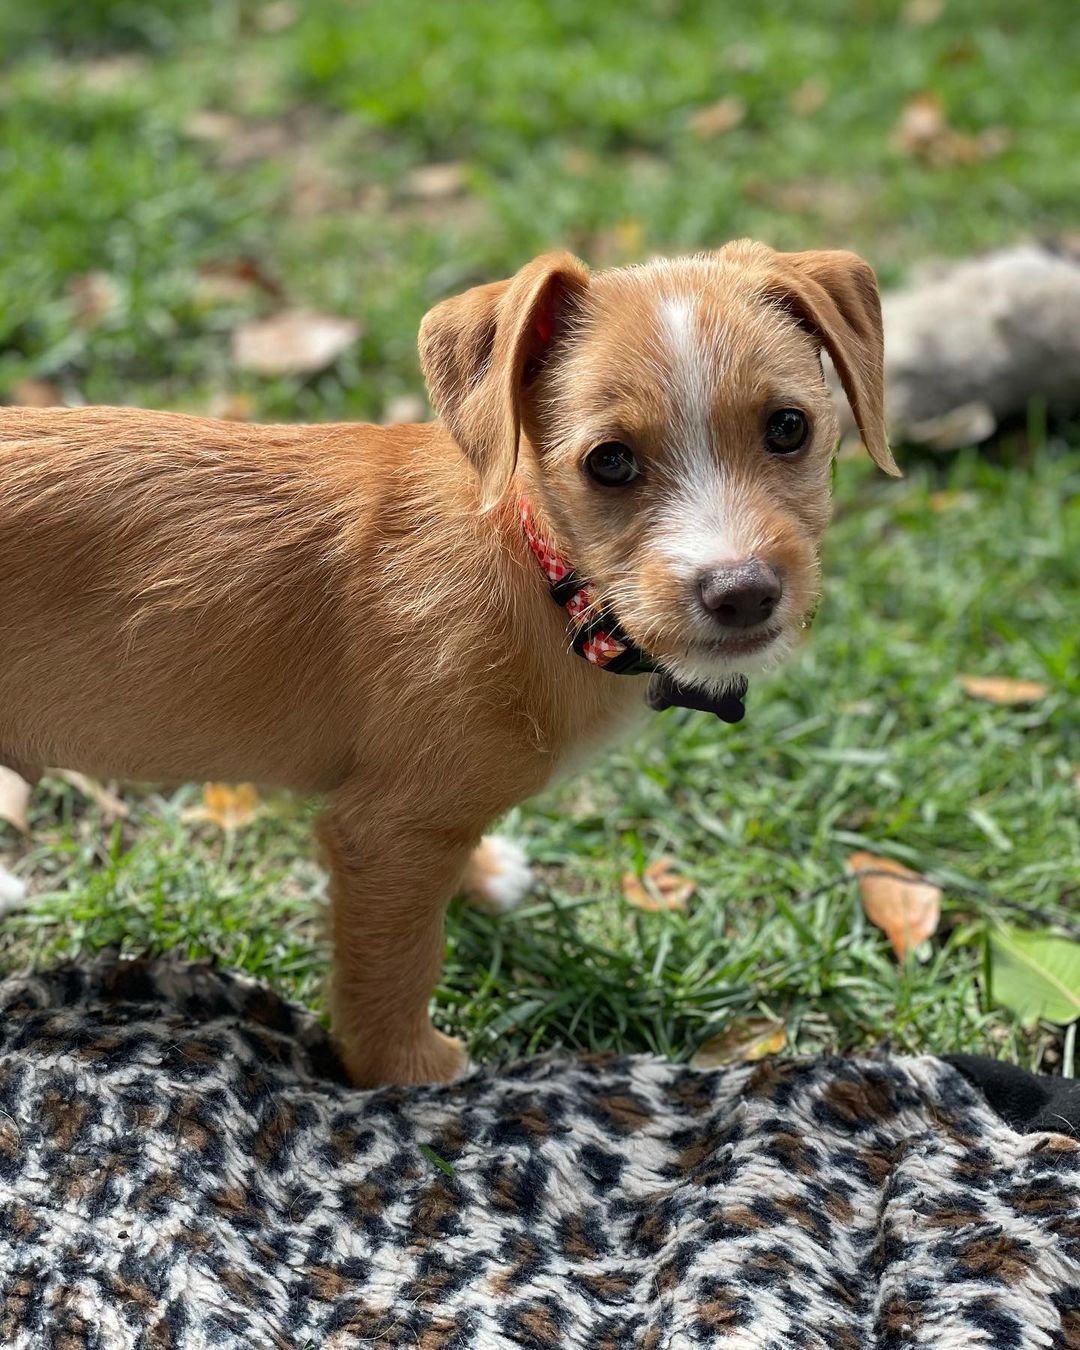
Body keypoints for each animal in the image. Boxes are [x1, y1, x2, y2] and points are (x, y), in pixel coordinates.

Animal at [0, 240, 896, 1085]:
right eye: (609, 461)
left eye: (789, 427)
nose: (742, 593)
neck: (546, 575)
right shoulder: (385, 831)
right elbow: (395, 963)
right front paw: (408, 1072)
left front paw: (482, 877)